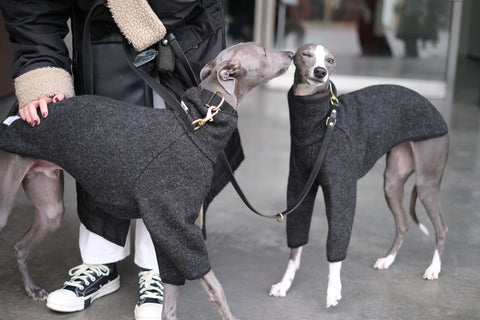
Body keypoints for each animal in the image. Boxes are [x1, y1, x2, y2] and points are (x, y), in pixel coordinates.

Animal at [0, 42, 294, 320]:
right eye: (263, 51)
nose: (291, 53)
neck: (199, 123)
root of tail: (18, 109)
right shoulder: (174, 226)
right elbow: (215, 286)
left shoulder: (173, 229)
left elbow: (170, 301)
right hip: (6, 198)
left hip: (50, 205)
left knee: (19, 246)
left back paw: (32, 288)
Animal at [270, 43, 450, 308]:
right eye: (306, 55)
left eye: (330, 60)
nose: (321, 72)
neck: (320, 117)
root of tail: (434, 109)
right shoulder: (299, 187)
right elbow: (295, 246)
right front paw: (285, 284)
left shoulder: (342, 189)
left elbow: (337, 242)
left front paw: (333, 290)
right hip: (392, 182)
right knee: (404, 224)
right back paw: (388, 260)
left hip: (427, 182)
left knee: (441, 228)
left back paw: (433, 268)